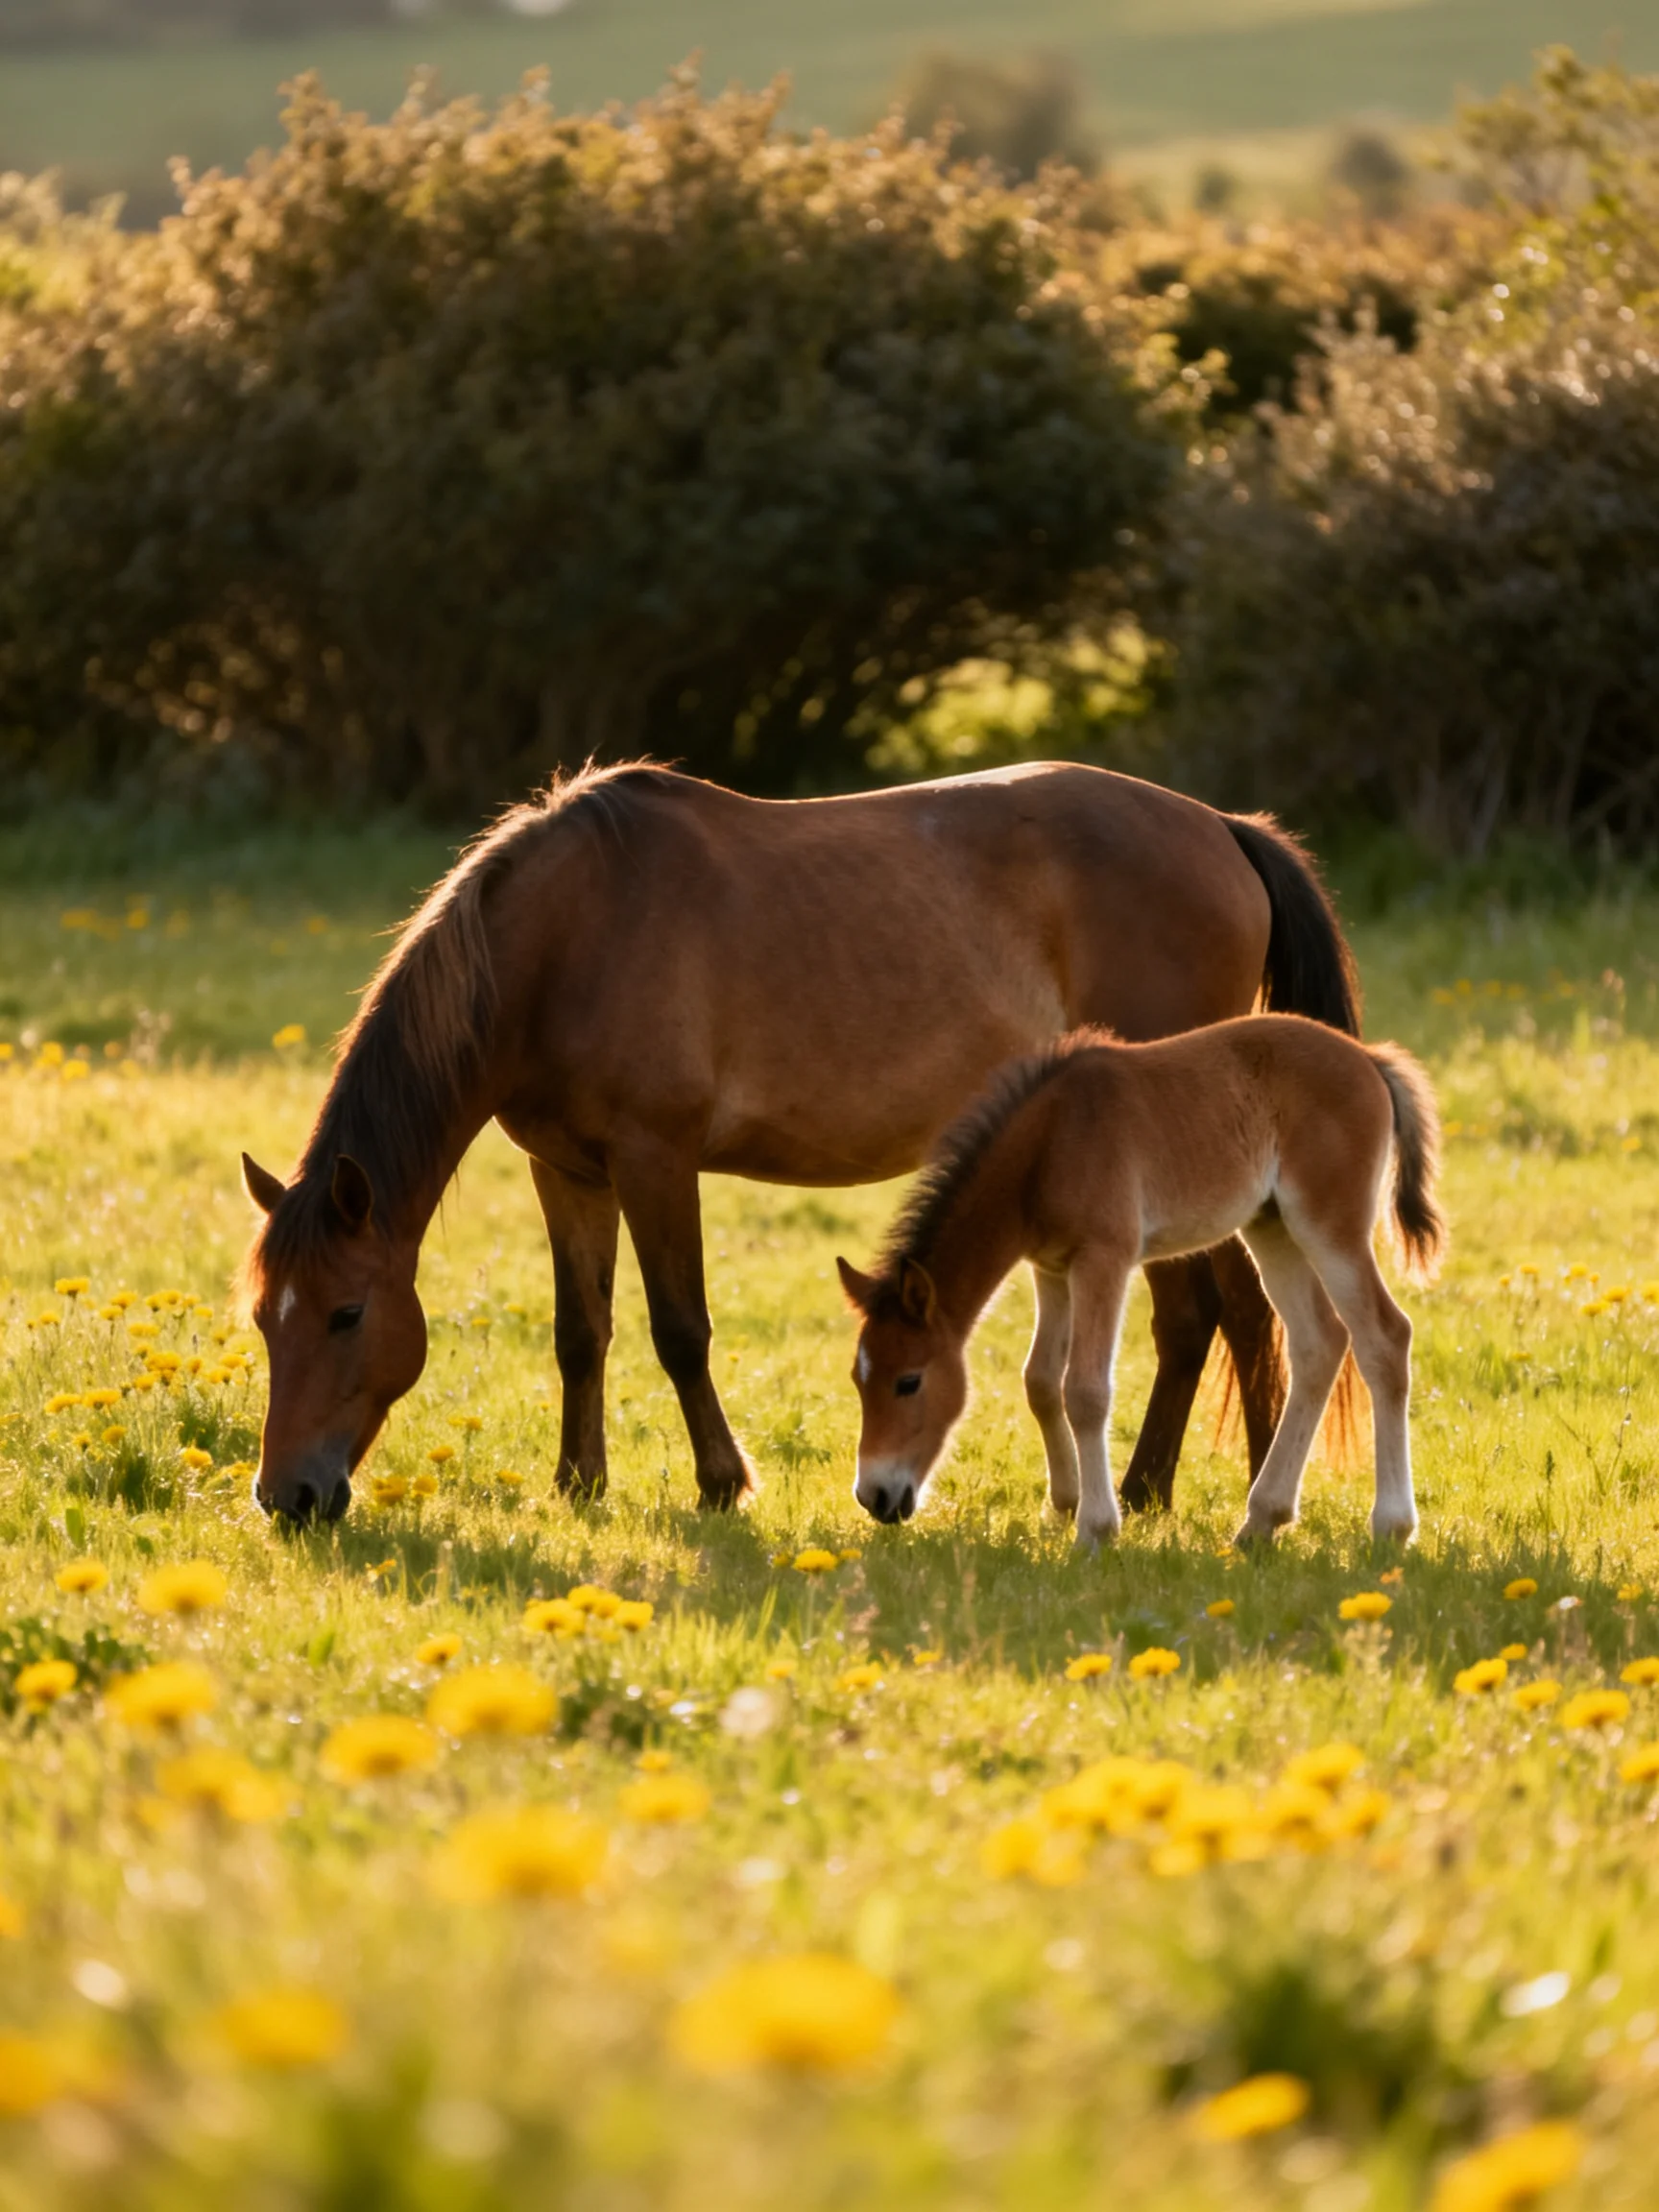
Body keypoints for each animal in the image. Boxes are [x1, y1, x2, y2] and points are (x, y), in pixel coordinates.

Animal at [238, 759, 1360, 1525]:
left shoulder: (656, 1161)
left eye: (346, 1313)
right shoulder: (565, 1172)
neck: (566, 938)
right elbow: (580, 1332)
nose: (288, 1495)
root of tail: (1225, 827)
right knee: (1222, 1317)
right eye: (261, 1318)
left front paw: (721, 1483)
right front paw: (579, 1483)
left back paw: (1188, 1488)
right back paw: (1207, 1487)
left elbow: (679, 1330)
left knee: (1218, 1314)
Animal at [838, 1015, 1443, 1550]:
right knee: (1319, 1343)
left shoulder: (1104, 1259)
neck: (1049, 1144)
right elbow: (1040, 1380)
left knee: (1385, 1337)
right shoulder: (1051, 1268)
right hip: (1271, 1228)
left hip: (1328, 1225)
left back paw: (1391, 1525)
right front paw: (1063, 1504)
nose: (875, 1496)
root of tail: (1370, 1058)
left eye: (909, 1381)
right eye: (858, 1380)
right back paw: (1260, 1521)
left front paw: (1095, 1529)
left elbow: (1084, 1390)